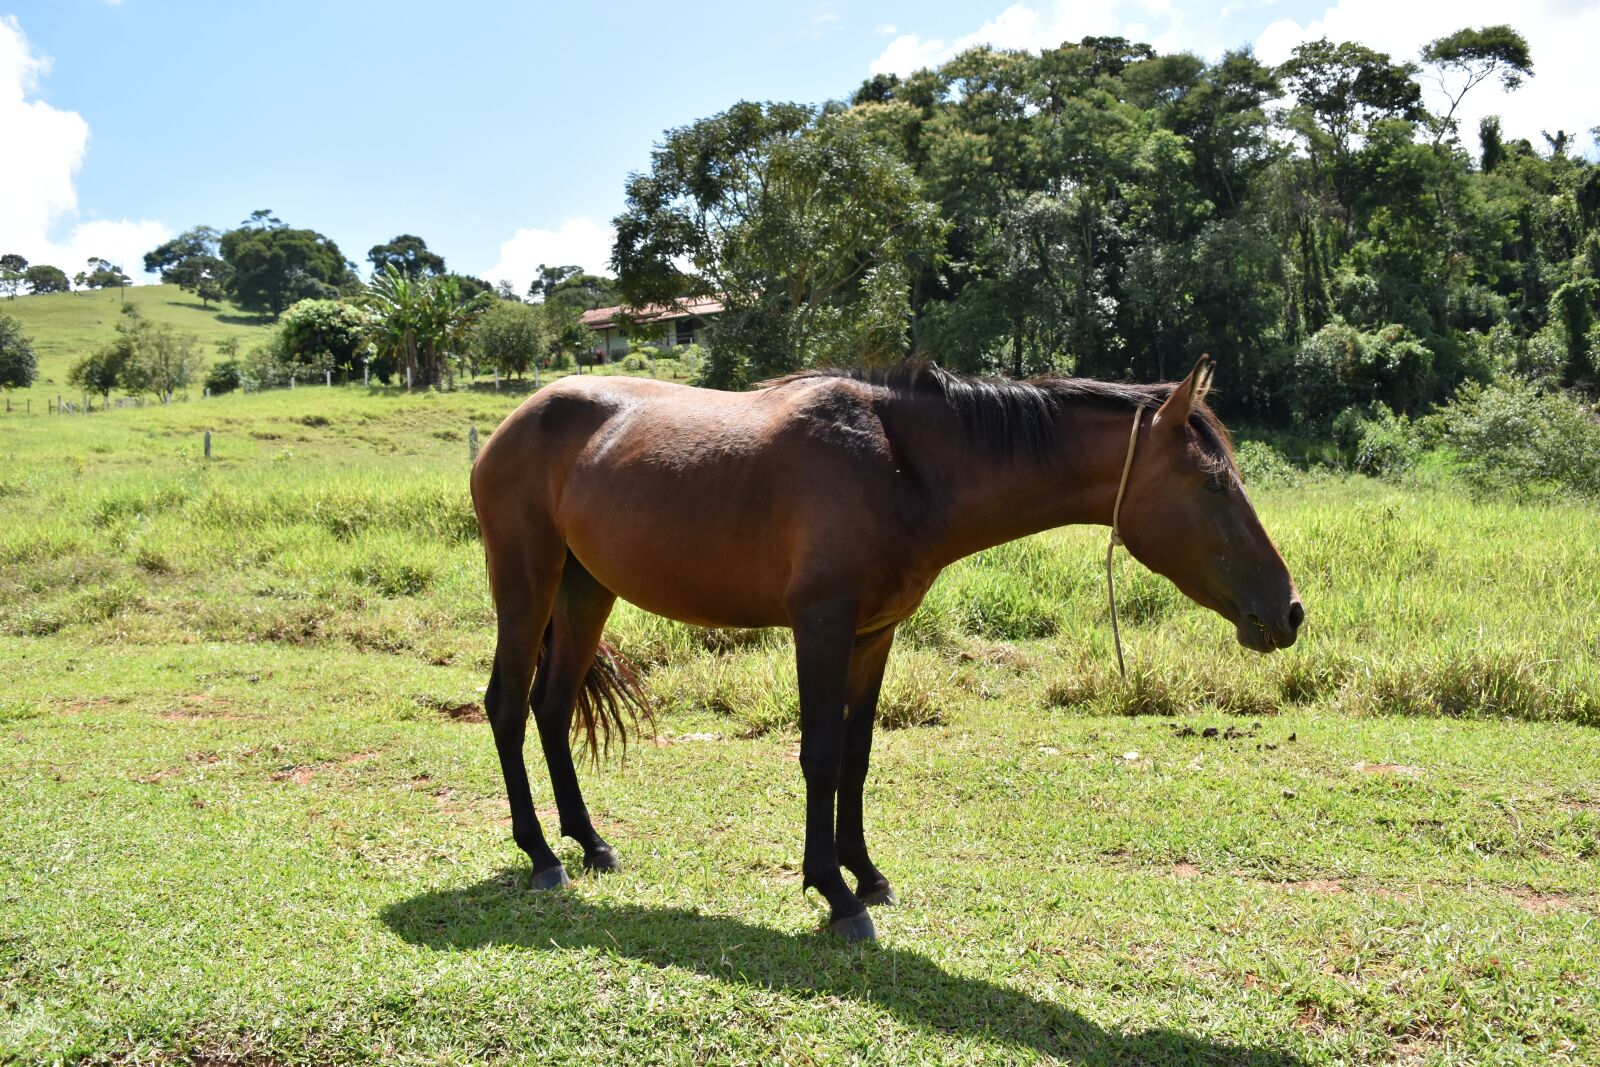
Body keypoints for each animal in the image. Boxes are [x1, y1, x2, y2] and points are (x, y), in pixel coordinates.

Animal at [469, 357, 1303, 941]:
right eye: (1214, 482)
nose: (1289, 611)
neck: (902, 465)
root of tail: (512, 423)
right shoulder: (823, 624)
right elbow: (818, 753)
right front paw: (835, 895)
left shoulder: (874, 634)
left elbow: (856, 754)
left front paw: (864, 872)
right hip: (526, 580)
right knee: (508, 706)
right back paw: (542, 854)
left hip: (585, 590)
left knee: (551, 707)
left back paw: (590, 843)